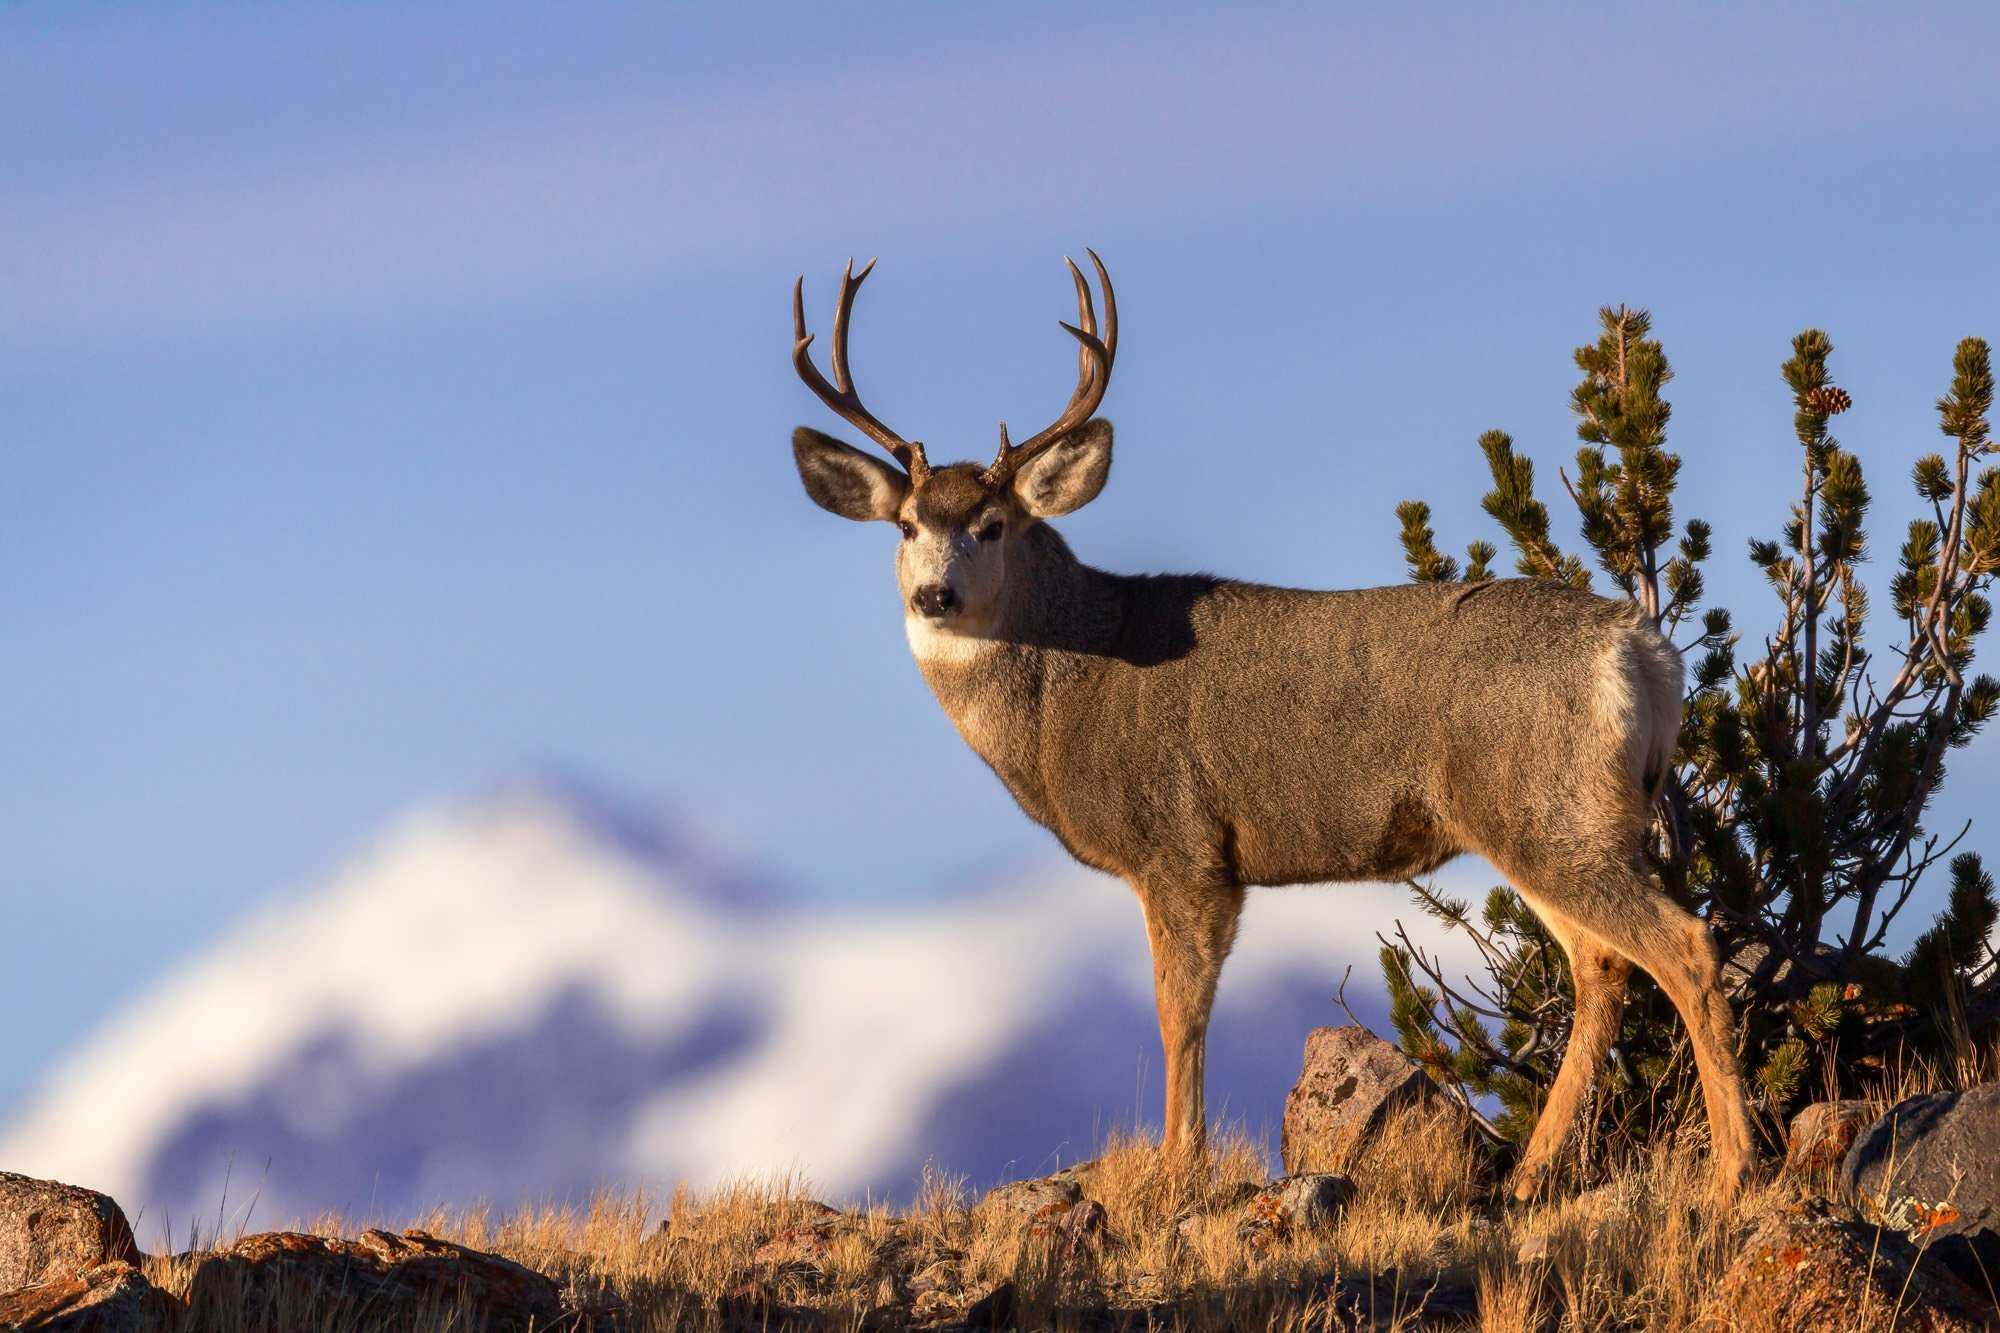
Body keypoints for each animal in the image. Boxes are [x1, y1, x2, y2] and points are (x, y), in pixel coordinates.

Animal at [788, 249, 1760, 1192]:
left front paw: (1179, 1166)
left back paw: (1733, 1174)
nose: (934, 595)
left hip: (1547, 810)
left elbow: (1178, 1011)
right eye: (906, 524)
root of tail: (1643, 648)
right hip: (1553, 818)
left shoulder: (1180, 843)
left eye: (992, 524)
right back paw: (1531, 1175)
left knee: (1685, 946)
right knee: (1603, 964)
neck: (1072, 681)